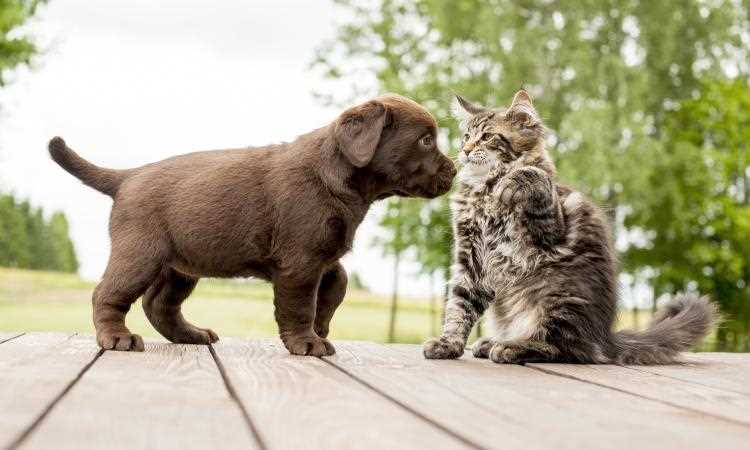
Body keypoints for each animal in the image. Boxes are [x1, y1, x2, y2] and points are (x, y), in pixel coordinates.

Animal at [50, 94, 458, 356]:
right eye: (426, 140)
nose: (455, 170)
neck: (339, 176)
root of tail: (128, 176)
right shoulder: (301, 260)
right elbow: (300, 305)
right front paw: (308, 342)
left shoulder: (323, 254)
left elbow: (338, 283)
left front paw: (322, 326)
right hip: (140, 254)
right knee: (107, 294)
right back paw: (117, 338)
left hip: (181, 264)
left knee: (159, 304)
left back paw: (191, 335)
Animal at [426, 89, 720, 364]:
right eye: (466, 136)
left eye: (487, 137)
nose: (464, 151)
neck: (483, 189)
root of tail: (604, 337)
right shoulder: (470, 257)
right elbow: (459, 305)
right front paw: (448, 343)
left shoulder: (552, 230)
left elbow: (535, 176)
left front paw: (514, 180)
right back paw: (492, 342)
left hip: (559, 296)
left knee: (565, 348)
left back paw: (512, 346)